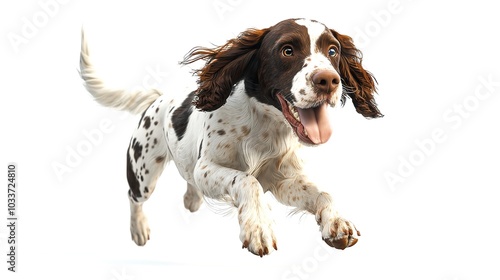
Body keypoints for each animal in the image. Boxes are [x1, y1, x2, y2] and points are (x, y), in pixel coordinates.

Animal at [80, 18, 380, 258]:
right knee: (134, 197)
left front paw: (337, 223)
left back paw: (191, 200)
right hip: (144, 172)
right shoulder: (207, 168)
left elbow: (323, 193)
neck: (263, 127)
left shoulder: (283, 180)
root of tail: (158, 98)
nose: (328, 80)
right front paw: (258, 227)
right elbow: (246, 180)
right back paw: (139, 229)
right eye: (287, 50)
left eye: (333, 51)